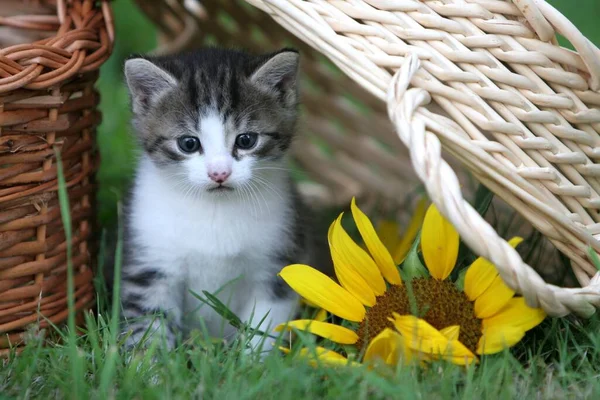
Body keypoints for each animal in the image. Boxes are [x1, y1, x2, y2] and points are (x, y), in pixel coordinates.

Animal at [117, 47, 332, 354]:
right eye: (188, 143)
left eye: (246, 140)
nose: (219, 173)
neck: (216, 210)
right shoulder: (151, 263)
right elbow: (148, 326)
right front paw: (149, 365)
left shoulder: (276, 266)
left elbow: (265, 326)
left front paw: (254, 361)